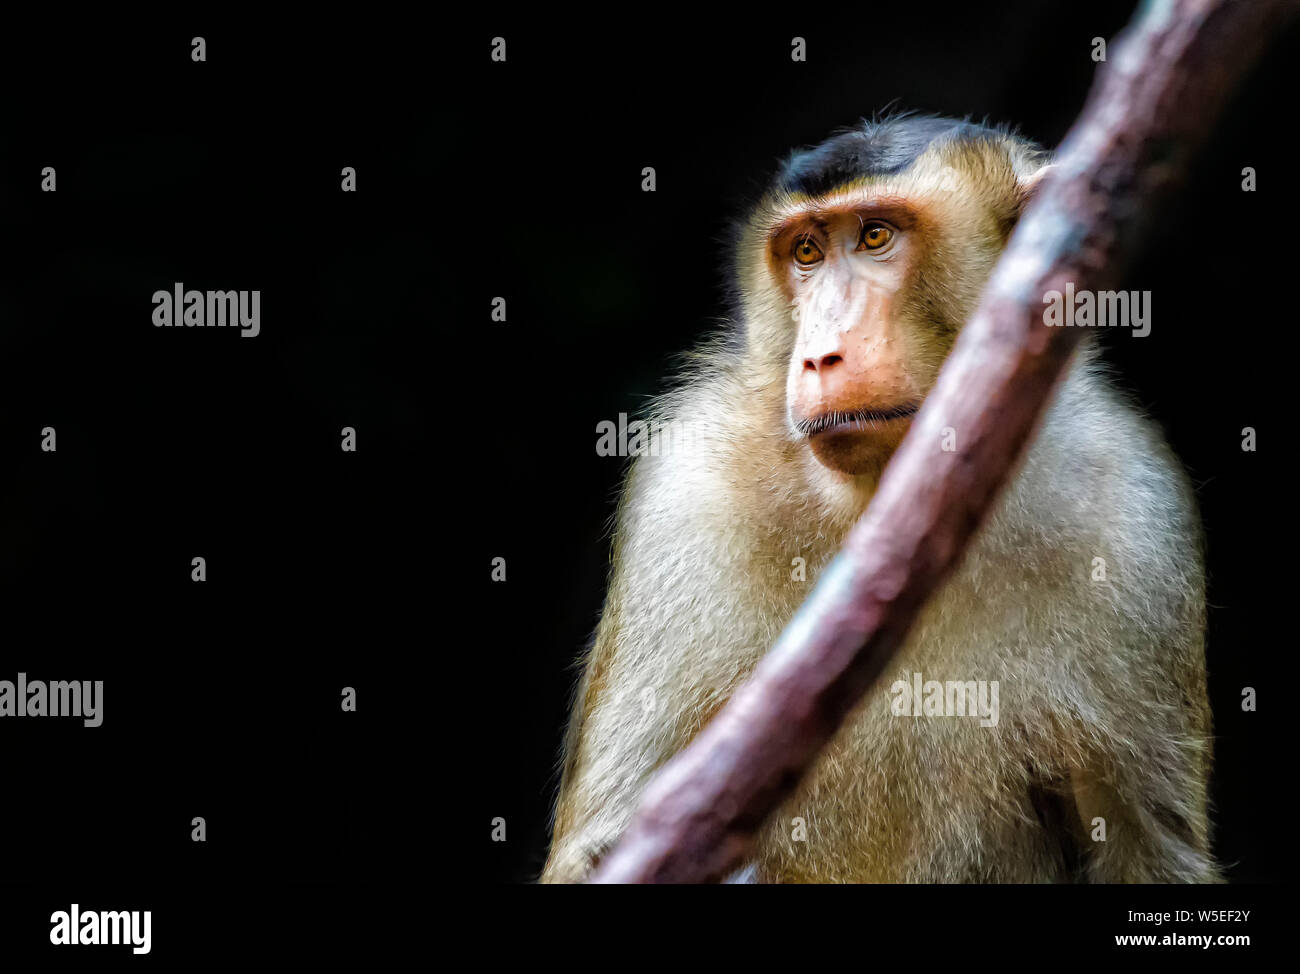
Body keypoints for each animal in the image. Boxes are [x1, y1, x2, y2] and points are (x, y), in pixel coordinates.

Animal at [543, 113, 1211, 879]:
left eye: (874, 237)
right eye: (806, 250)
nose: (818, 355)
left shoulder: (1137, 513)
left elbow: (1150, 849)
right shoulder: (682, 499)